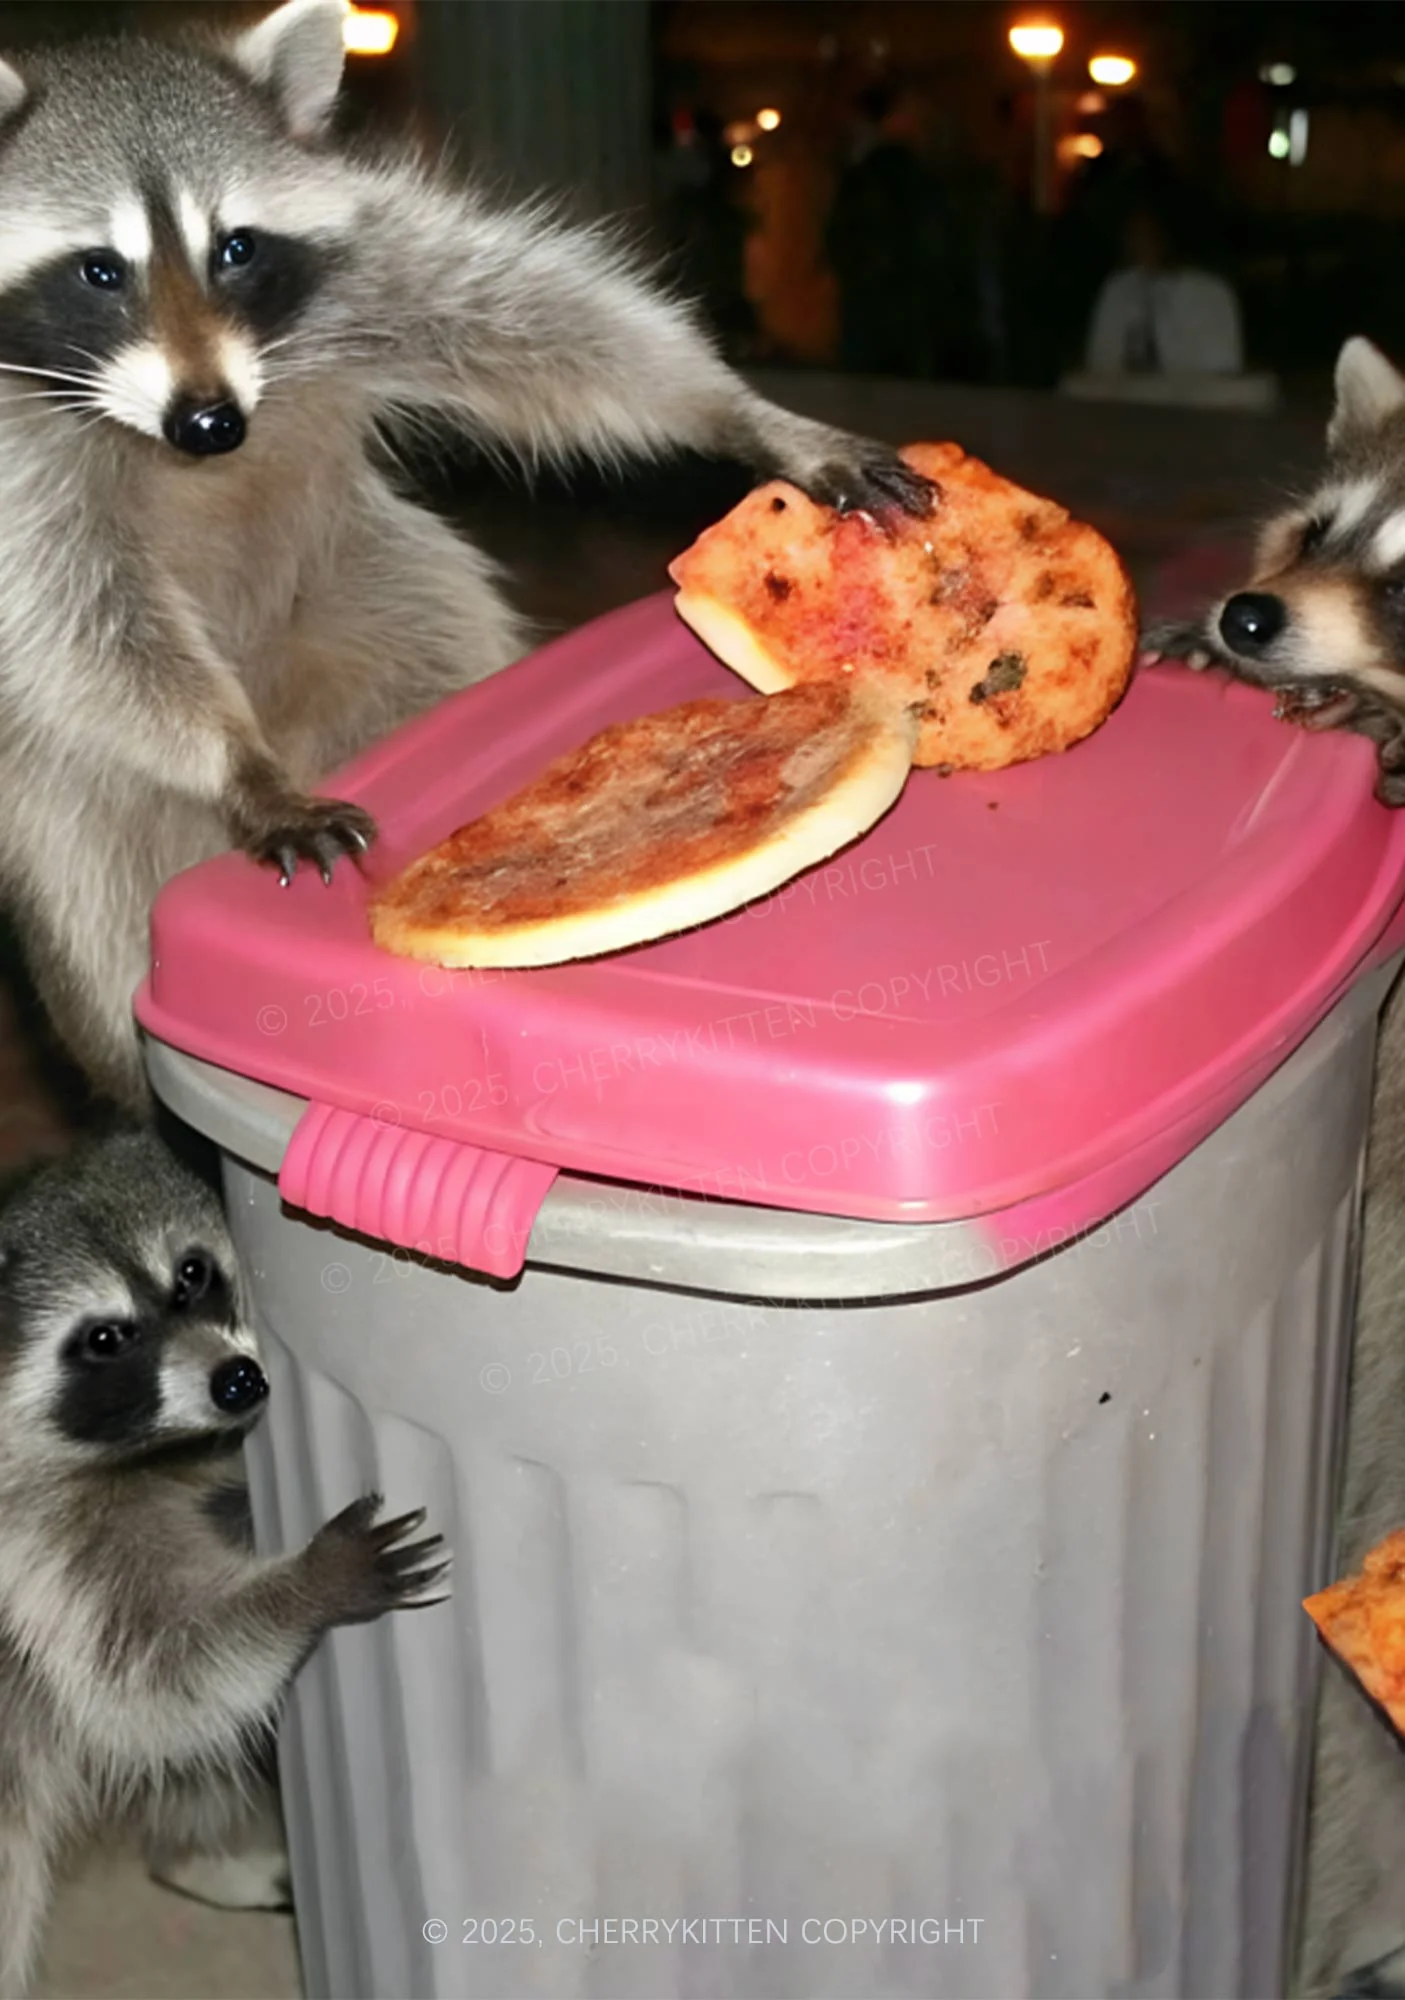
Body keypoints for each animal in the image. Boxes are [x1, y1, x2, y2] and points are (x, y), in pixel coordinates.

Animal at [0, 0, 933, 1113]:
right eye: (99, 270)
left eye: (235, 248)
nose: (210, 422)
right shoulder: (15, 472)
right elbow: (79, 620)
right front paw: (237, 758)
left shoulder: (366, 266)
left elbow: (550, 325)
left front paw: (740, 413)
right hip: (75, 764)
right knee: (85, 855)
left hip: (367, 596)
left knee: (432, 643)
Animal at [0, 1127, 448, 1998]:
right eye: (105, 1339)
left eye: (191, 1273)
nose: (238, 1380)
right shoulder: (36, 1558)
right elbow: (155, 1680)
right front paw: (308, 1585)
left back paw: (187, 1855)